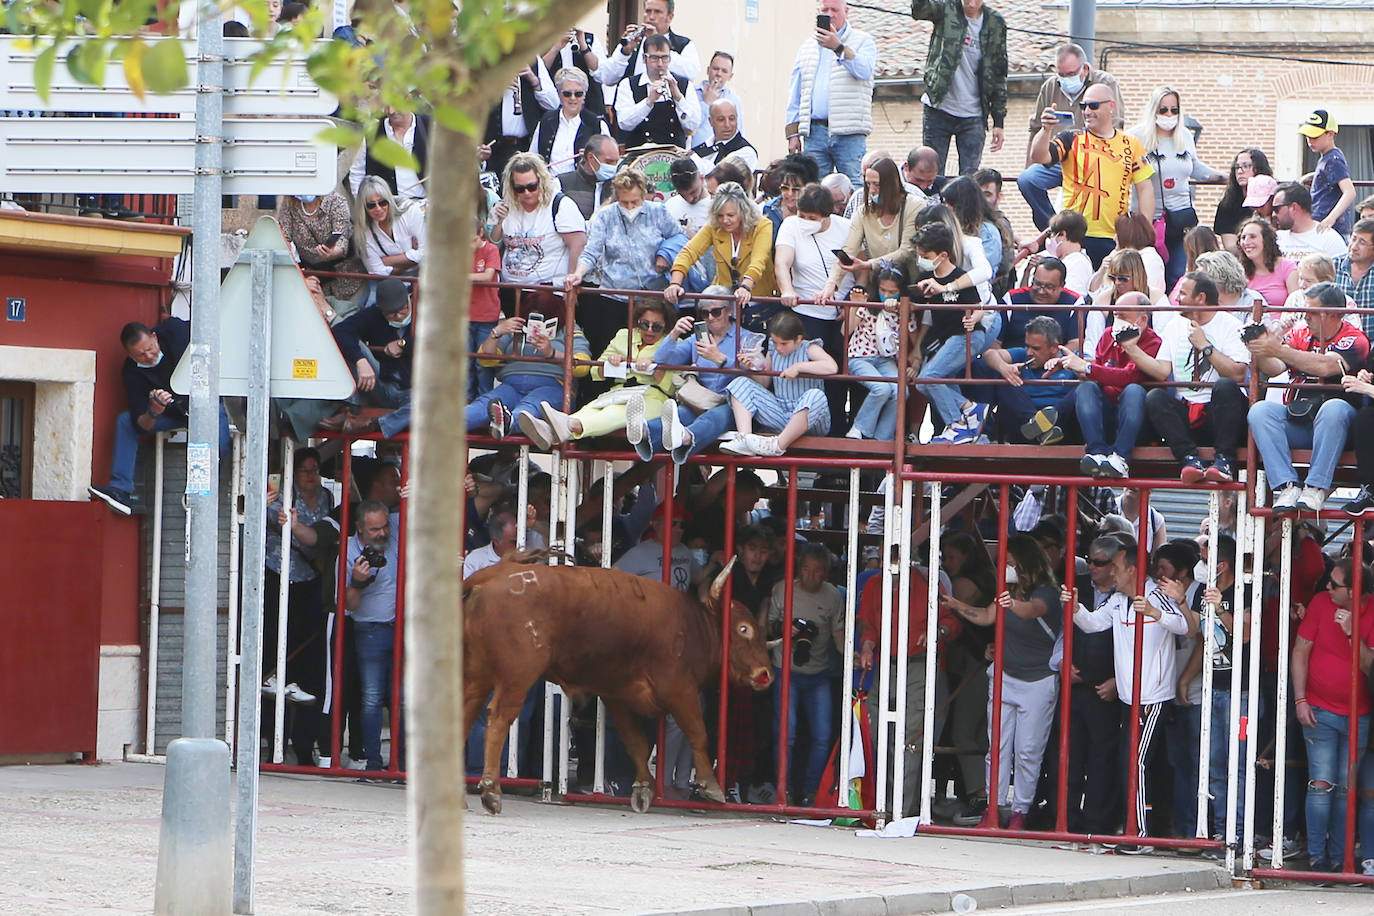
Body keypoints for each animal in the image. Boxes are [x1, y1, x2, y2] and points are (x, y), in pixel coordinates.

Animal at [461, 552, 774, 818]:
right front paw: (710, 785)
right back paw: (491, 791)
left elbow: (636, 742)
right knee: (498, 718)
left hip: (477, 675)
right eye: (744, 629)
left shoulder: (618, 695)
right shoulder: (680, 690)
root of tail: (488, 576)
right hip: (517, 676)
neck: (690, 625)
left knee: (464, 716)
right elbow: (697, 734)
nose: (766, 674)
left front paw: (644, 788)